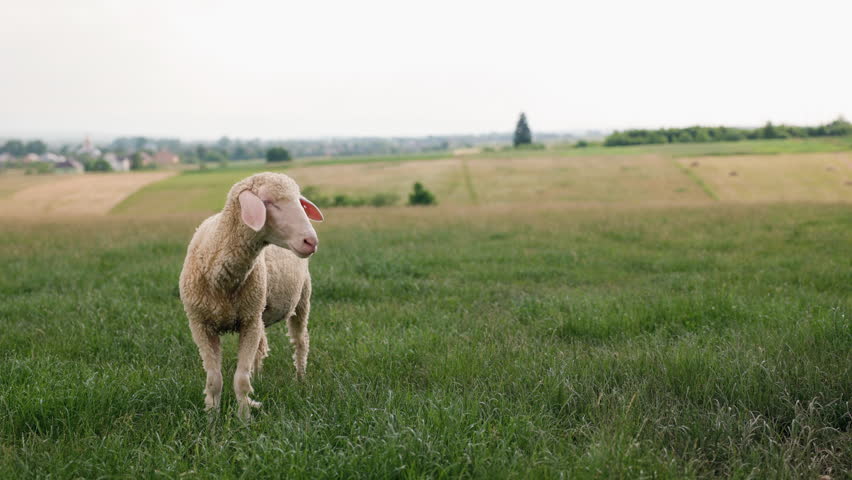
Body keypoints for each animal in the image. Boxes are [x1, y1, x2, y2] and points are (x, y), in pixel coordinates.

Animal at [178, 172, 324, 420]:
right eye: (269, 202)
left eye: (299, 202)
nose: (311, 241)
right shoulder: (200, 324)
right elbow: (214, 380)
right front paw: (211, 418)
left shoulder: (249, 322)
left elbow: (241, 380)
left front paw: (244, 419)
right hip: (260, 311)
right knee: (262, 347)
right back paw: (260, 376)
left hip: (301, 298)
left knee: (300, 341)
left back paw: (300, 378)